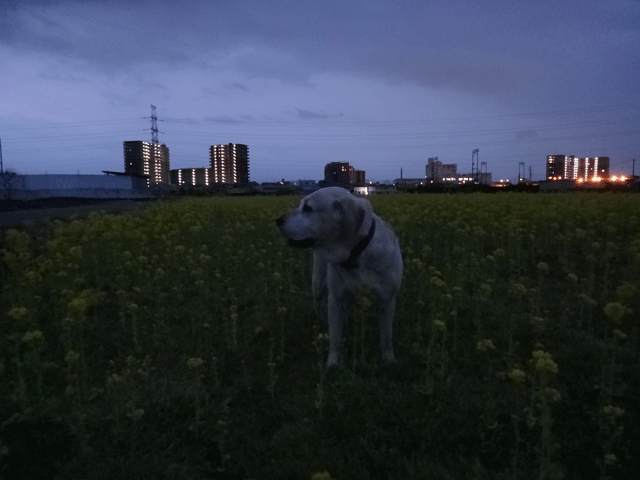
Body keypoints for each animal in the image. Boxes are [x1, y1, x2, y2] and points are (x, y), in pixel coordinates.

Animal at [276, 186, 404, 366]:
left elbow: (386, 336)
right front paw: (333, 363)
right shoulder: (336, 299)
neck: (356, 255)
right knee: (319, 305)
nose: (278, 220)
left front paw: (389, 360)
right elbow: (335, 337)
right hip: (318, 283)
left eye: (308, 208)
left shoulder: (387, 299)